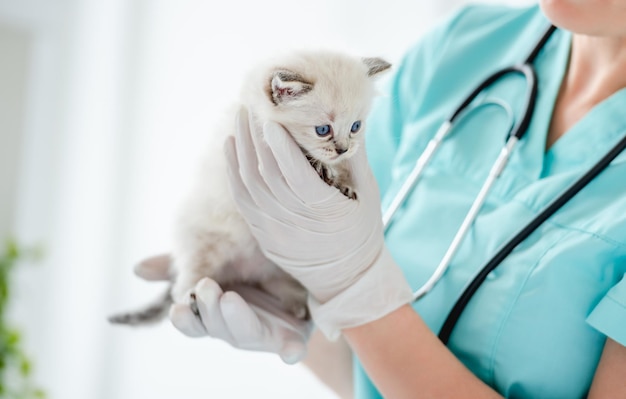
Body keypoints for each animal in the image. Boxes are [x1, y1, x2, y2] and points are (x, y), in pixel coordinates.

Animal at [109, 50, 388, 326]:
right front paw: (327, 170)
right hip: (201, 244)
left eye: (355, 126)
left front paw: (344, 181)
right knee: (185, 282)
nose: (343, 149)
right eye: (322, 130)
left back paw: (297, 306)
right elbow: (311, 157)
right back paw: (194, 297)